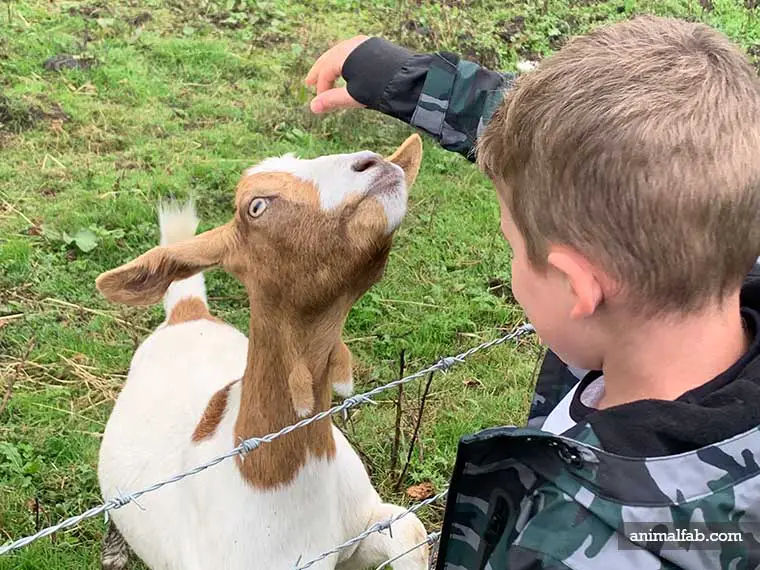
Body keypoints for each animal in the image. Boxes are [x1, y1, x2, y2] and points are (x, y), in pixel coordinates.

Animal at [93, 134, 428, 568]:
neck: (268, 480)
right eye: (256, 206)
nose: (375, 163)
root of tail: (188, 311)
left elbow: (411, 530)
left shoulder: (364, 526)